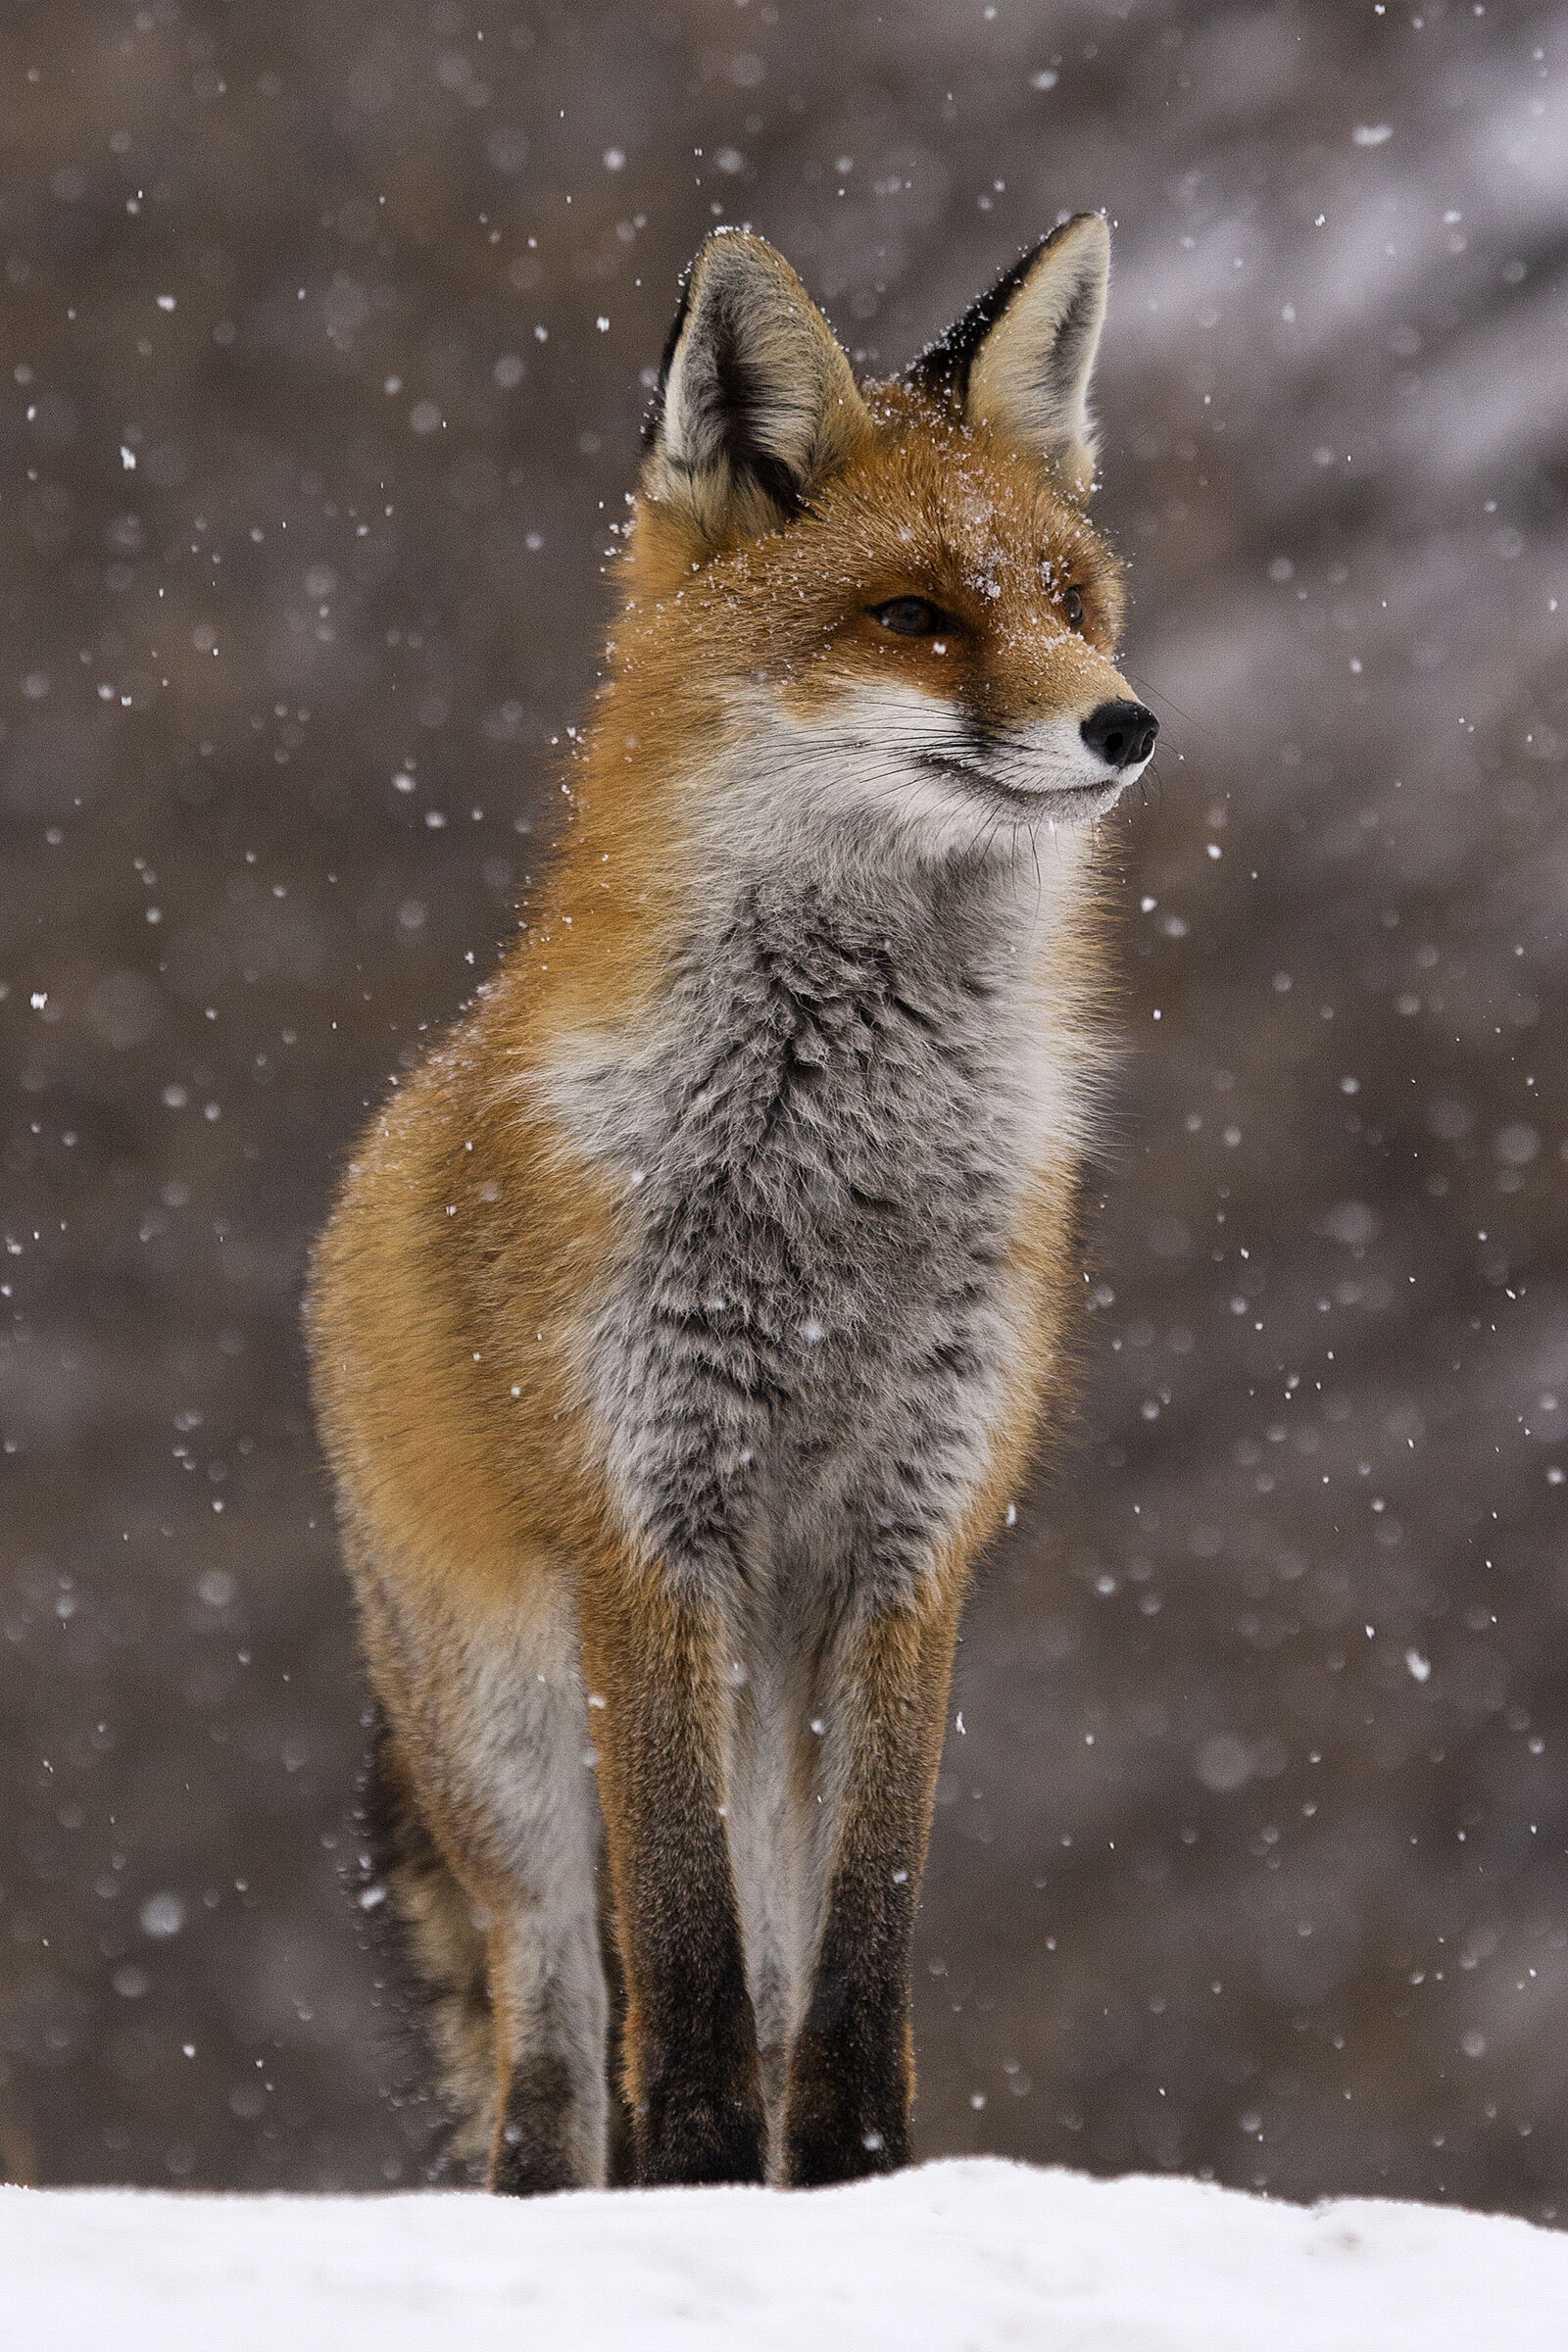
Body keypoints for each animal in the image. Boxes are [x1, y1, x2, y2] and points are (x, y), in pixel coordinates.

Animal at [306, 213, 1158, 2196]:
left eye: (1068, 599)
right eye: (917, 617)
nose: (1127, 723)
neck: (837, 1191)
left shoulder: (912, 1543)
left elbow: (852, 1967)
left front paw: (852, 2190)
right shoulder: (652, 1526)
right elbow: (677, 1976)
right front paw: (698, 2181)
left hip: (762, 1696)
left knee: (764, 1965)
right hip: (510, 1745)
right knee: (551, 2049)